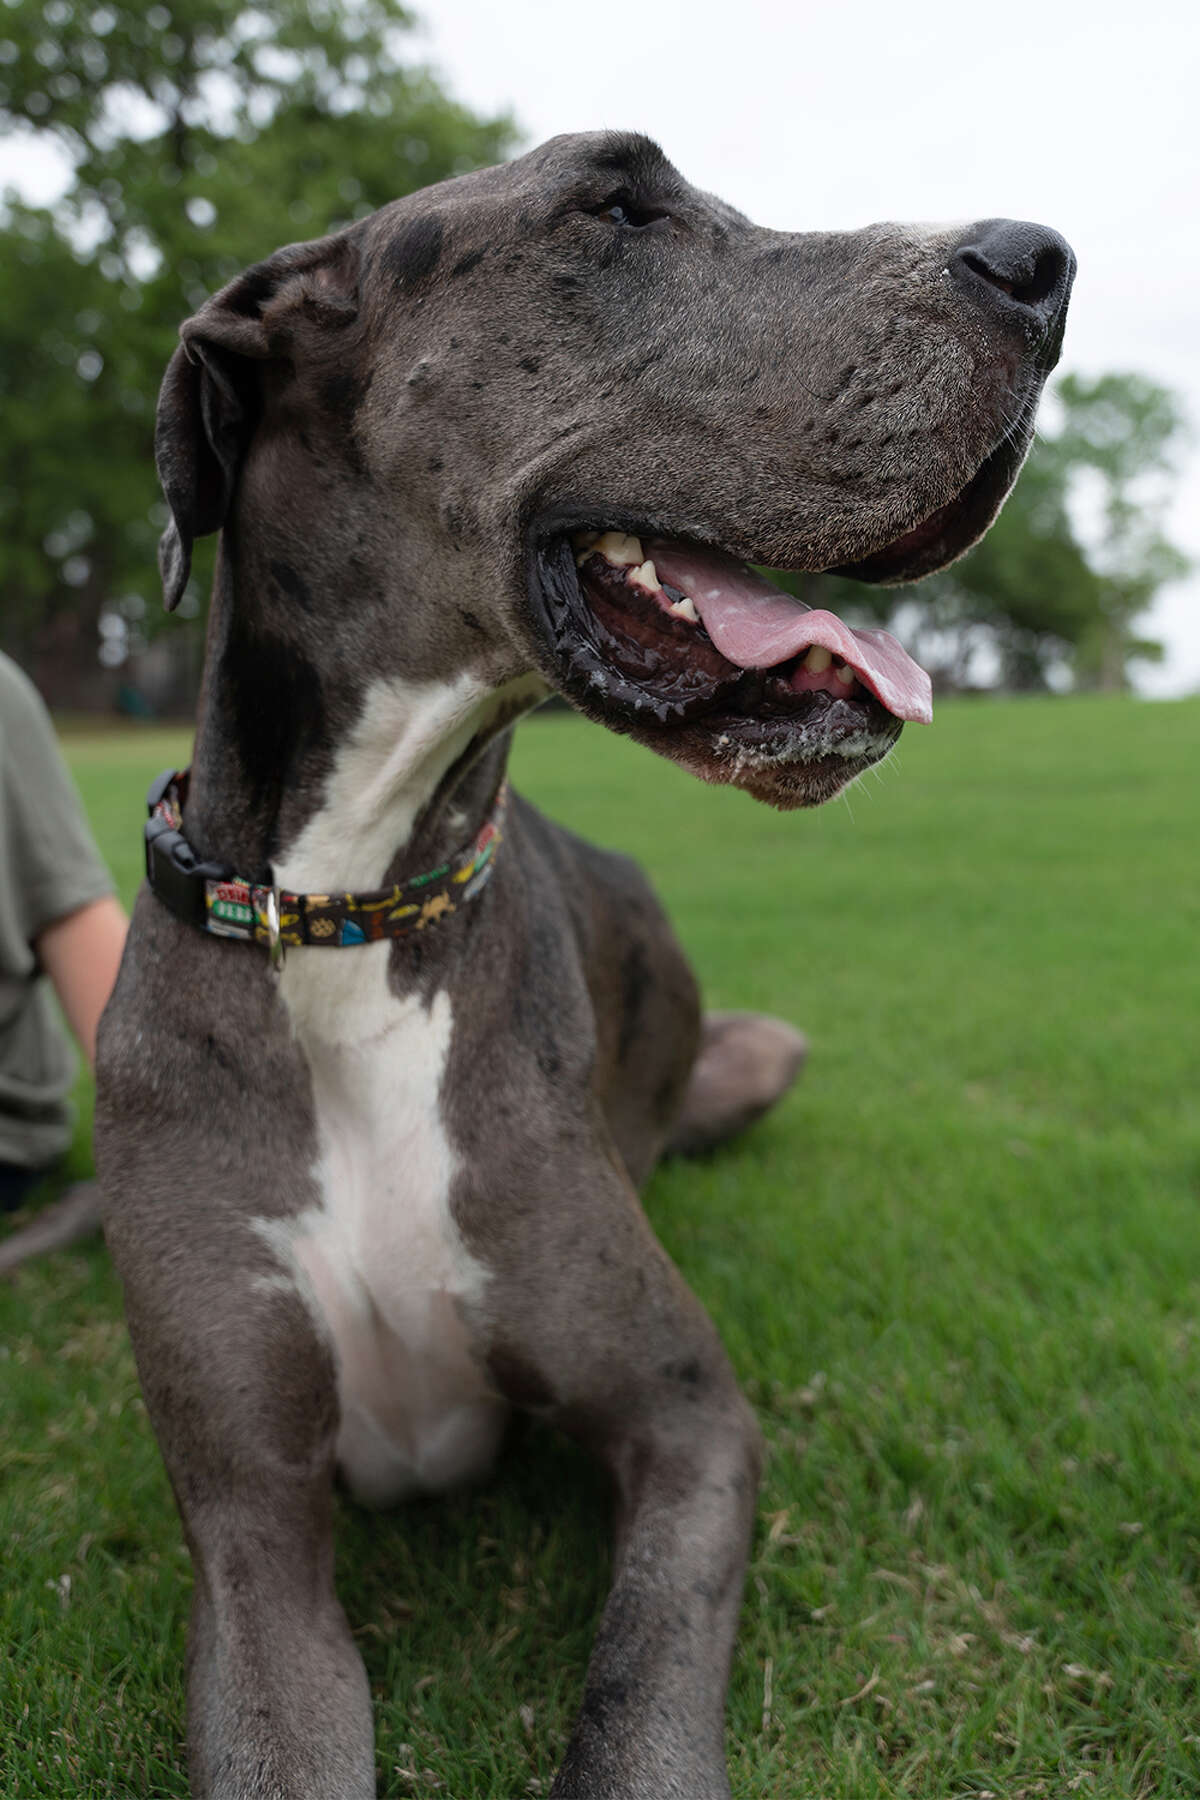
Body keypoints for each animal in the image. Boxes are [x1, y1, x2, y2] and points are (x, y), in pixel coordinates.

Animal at [91, 130, 1072, 1800]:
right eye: (615, 204)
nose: (1044, 262)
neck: (351, 911)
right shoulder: (248, 1527)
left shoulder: (688, 1422)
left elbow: (638, 1704)